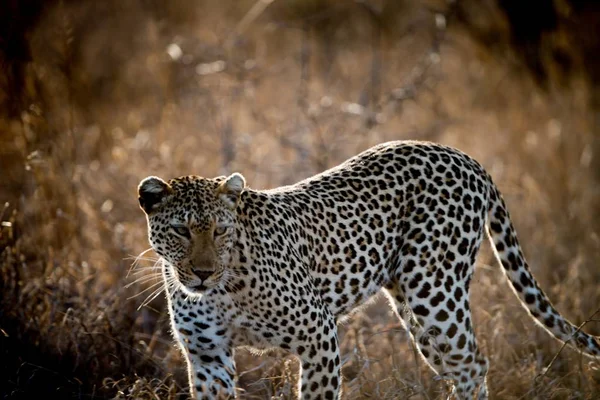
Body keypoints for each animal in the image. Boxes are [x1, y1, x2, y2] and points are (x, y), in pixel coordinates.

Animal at [137, 139, 600, 398]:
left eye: (220, 230)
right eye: (180, 230)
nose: (202, 273)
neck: (222, 289)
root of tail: (465, 156)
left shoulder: (318, 334)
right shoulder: (208, 357)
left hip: (434, 293)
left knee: (473, 365)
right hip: (414, 310)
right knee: (462, 367)